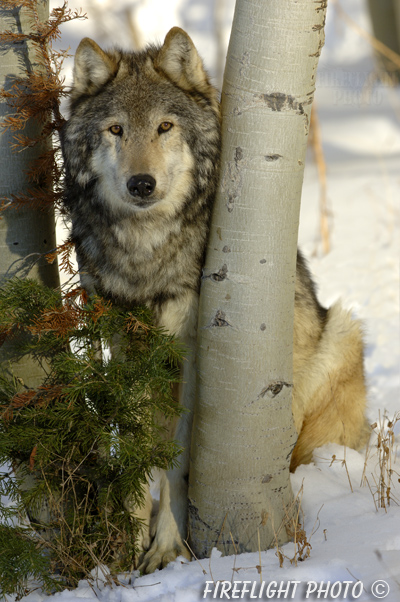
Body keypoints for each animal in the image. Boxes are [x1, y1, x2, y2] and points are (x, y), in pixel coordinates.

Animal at [61, 27, 370, 572]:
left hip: (341, 334)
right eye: (116, 130)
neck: (148, 254)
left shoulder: (192, 352)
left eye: (164, 127)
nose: (142, 184)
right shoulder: (124, 345)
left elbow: (180, 460)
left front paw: (168, 548)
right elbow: (134, 444)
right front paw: (127, 548)